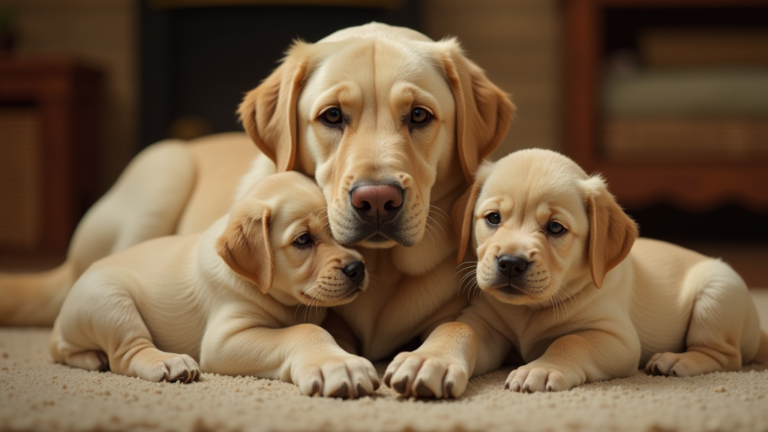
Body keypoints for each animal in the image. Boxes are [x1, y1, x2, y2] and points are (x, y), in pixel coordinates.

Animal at [48, 172, 378, 398]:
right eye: (303, 240)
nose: (358, 268)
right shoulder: (223, 338)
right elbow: (305, 330)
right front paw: (336, 362)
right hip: (109, 300)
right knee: (126, 354)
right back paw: (168, 362)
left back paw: (91, 357)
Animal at [388, 149, 764, 398]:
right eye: (493, 218)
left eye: (555, 227)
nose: (510, 262)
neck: (531, 311)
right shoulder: (487, 323)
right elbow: (457, 326)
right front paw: (427, 359)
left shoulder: (618, 338)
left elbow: (571, 340)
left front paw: (540, 368)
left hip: (717, 293)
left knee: (727, 356)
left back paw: (675, 360)